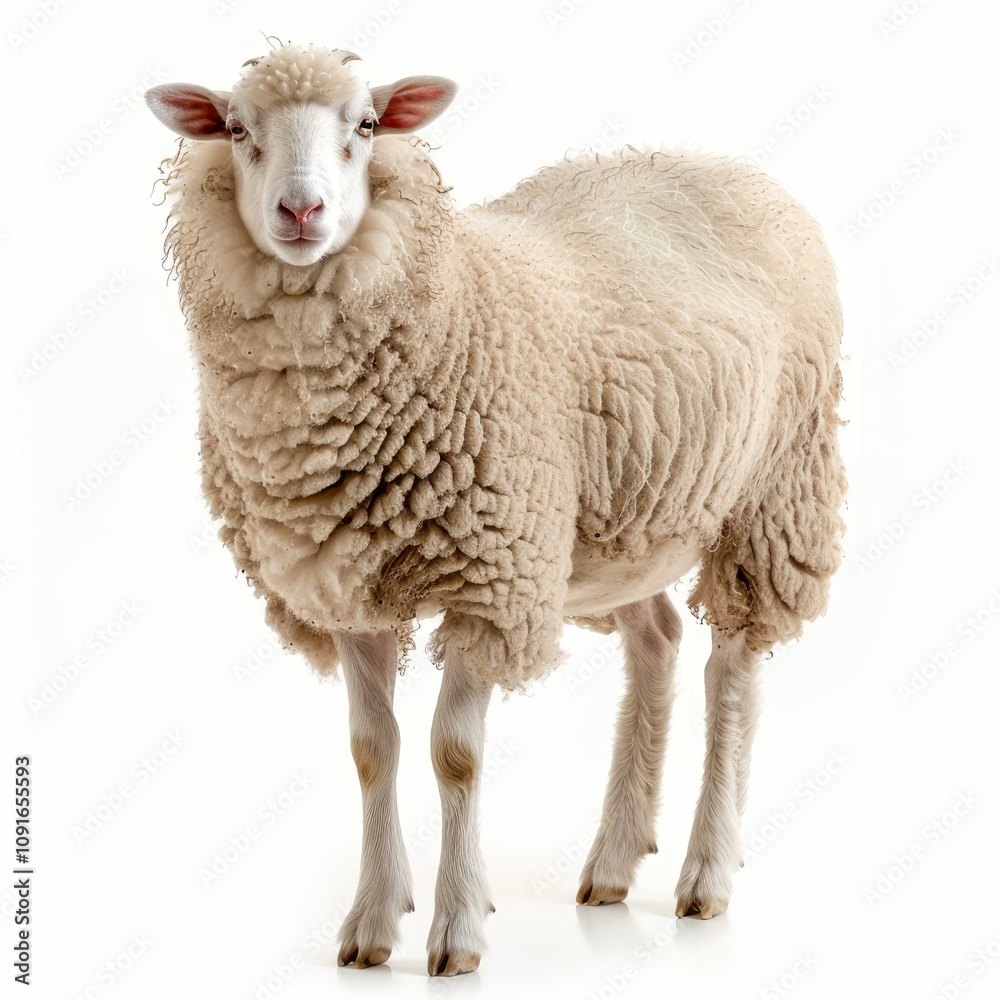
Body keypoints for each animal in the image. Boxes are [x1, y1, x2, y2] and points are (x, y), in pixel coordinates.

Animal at [145, 42, 847, 977]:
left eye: (367, 125)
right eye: (234, 129)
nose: (301, 210)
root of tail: (726, 164)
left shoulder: (491, 574)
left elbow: (455, 754)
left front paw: (457, 930)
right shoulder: (346, 585)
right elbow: (372, 752)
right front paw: (373, 922)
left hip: (772, 492)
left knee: (730, 670)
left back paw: (705, 873)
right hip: (624, 517)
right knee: (658, 641)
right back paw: (614, 862)